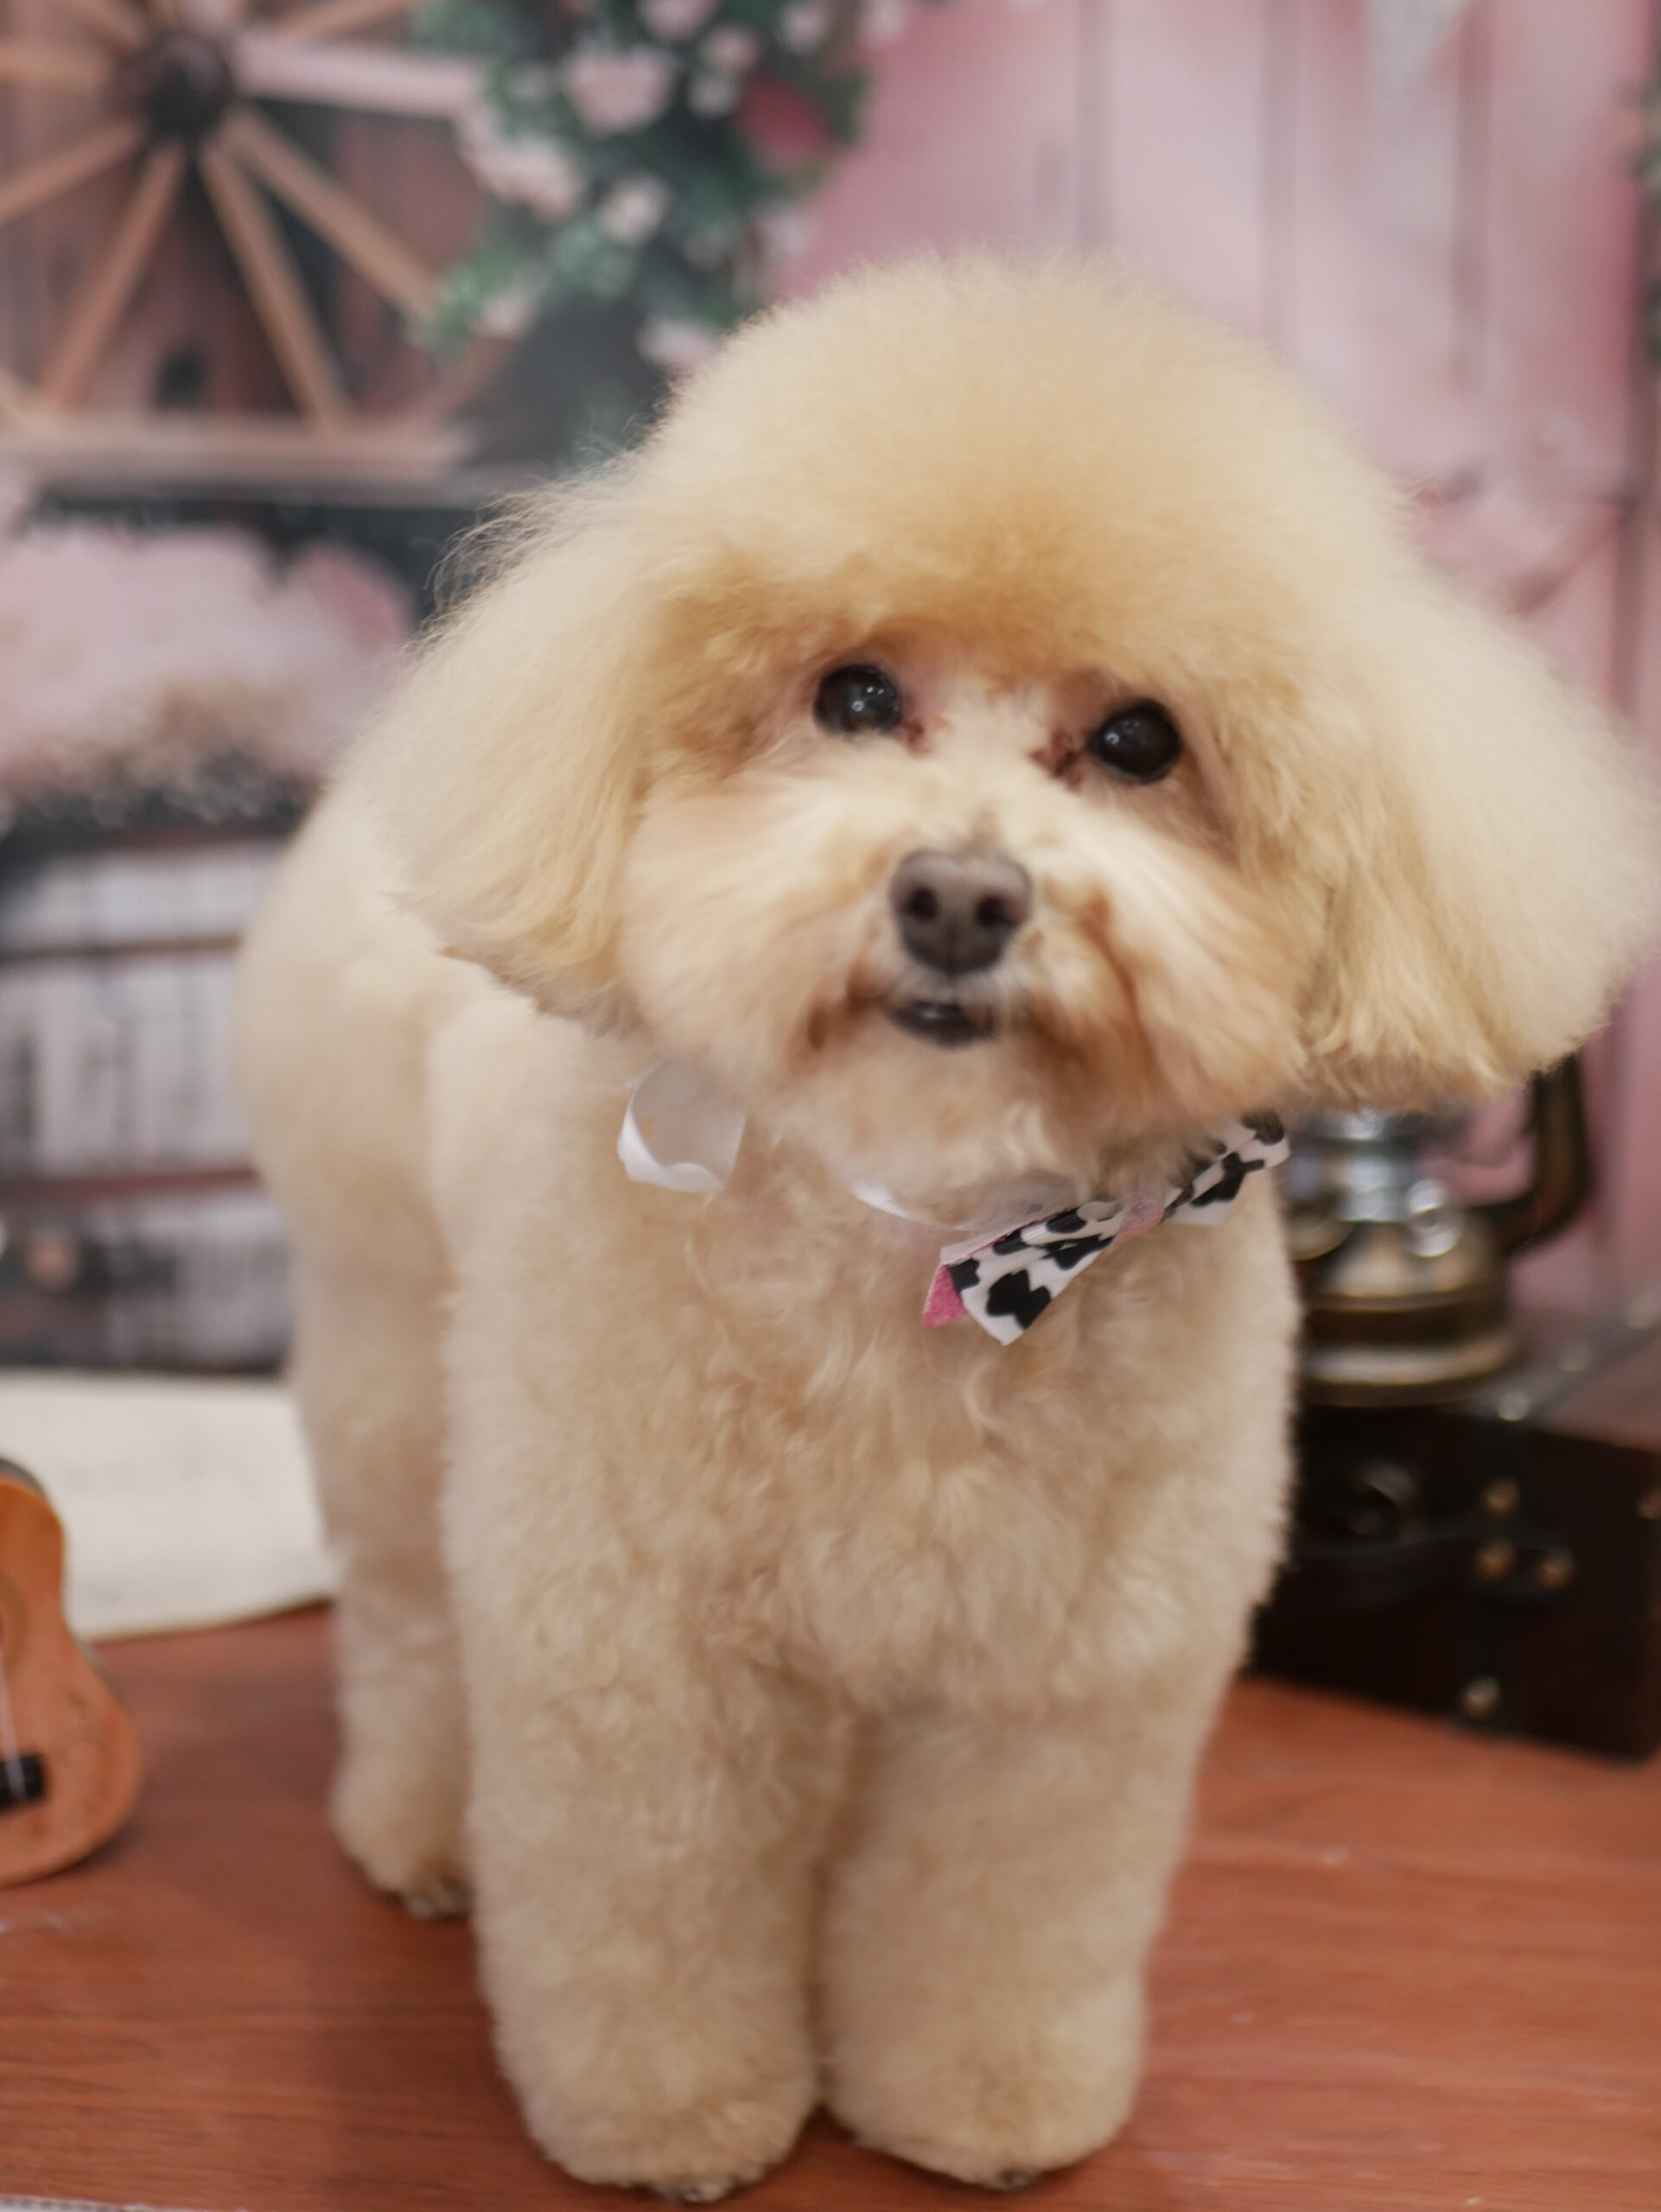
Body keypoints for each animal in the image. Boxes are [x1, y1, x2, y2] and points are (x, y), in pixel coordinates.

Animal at [234, 257, 1657, 2199]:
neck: (926, 1218)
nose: (962, 895)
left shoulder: (1062, 1687)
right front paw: (668, 2116)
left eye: (1136, 740)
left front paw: (979, 2107)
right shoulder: (641, 1662)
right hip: (388, 1333)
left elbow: (991, 1920)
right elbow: (648, 1918)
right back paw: (417, 1825)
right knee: (399, 1613)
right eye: (853, 694)